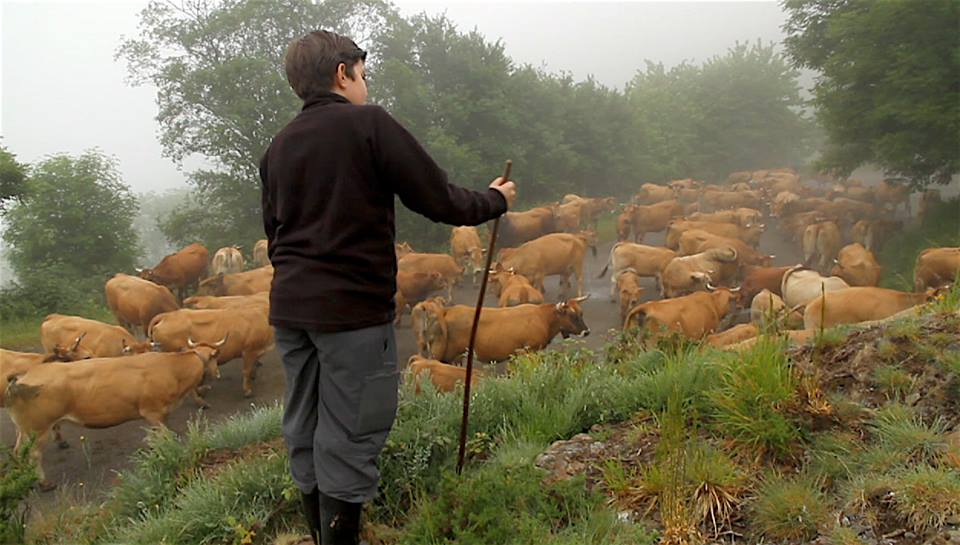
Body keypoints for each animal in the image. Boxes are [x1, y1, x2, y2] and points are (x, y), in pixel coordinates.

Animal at [4, 336, 224, 484]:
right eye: (214, 357)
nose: (218, 374)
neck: (171, 368)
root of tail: (23, 377)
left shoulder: (160, 414)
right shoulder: (153, 412)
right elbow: (165, 437)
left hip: (25, 429)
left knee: (18, 451)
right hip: (39, 429)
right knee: (34, 454)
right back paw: (44, 482)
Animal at [418, 296, 588, 364]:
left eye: (581, 313)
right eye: (573, 315)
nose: (587, 332)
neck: (542, 317)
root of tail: (446, 311)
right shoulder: (528, 351)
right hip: (441, 353)